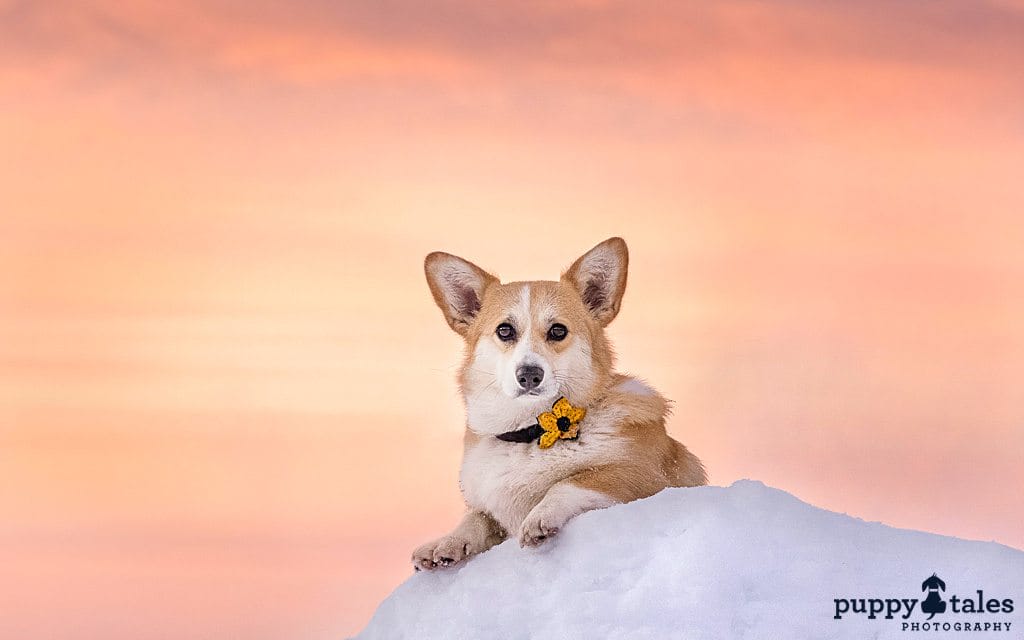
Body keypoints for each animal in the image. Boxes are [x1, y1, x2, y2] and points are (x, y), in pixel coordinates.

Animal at [411, 234, 708, 569]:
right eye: (504, 330)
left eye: (557, 330)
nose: (529, 375)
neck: (532, 431)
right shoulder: (489, 511)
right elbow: (476, 518)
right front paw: (447, 542)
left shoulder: (641, 475)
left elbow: (571, 481)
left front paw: (539, 517)